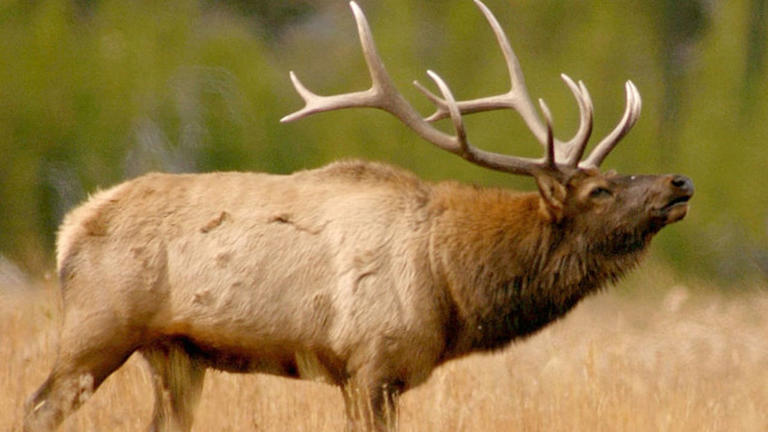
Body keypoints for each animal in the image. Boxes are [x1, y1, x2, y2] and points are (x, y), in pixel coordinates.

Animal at [23, 1, 693, 431]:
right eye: (598, 190)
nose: (679, 181)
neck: (452, 286)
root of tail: (69, 228)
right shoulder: (370, 365)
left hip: (174, 355)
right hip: (98, 329)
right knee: (37, 408)